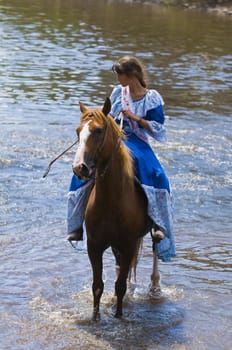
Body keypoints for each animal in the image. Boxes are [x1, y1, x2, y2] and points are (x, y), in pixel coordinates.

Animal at [72, 98, 160, 320]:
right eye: (78, 131)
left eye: (98, 130)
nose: (79, 168)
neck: (111, 202)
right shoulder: (94, 246)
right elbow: (97, 286)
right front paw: (96, 317)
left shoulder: (128, 245)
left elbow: (120, 285)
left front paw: (119, 315)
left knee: (156, 249)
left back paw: (155, 287)